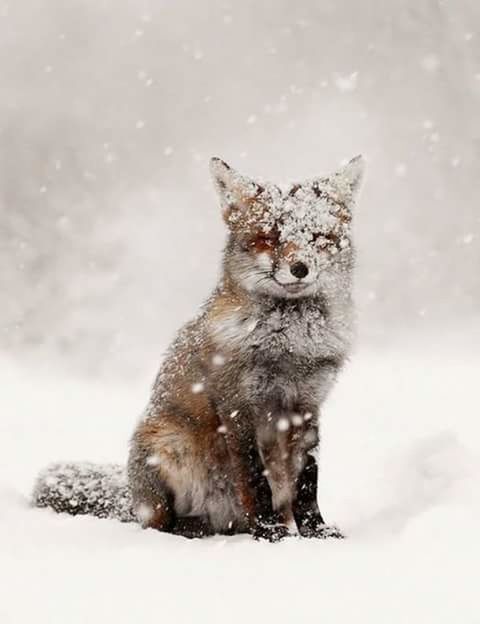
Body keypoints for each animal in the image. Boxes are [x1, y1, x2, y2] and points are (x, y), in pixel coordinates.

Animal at [33, 155, 364, 540]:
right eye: (269, 237)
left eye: (317, 237)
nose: (300, 268)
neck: (289, 346)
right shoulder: (239, 407)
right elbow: (255, 478)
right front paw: (269, 532)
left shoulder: (307, 405)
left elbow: (308, 480)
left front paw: (316, 532)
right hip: (167, 450)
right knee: (161, 523)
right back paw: (196, 529)